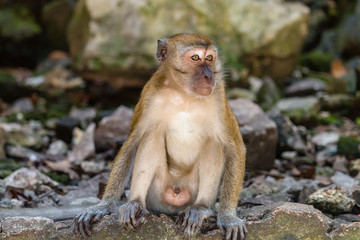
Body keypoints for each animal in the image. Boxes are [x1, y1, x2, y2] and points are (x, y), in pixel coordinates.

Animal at [73, 33, 248, 240]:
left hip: (192, 191)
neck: (184, 95)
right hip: (156, 196)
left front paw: (228, 217)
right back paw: (135, 204)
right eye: (195, 58)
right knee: (152, 134)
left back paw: (200, 208)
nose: (209, 75)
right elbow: (133, 142)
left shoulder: (218, 97)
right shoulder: (149, 94)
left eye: (210, 58)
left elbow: (234, 147)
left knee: (213, 143)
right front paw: (102, 206)